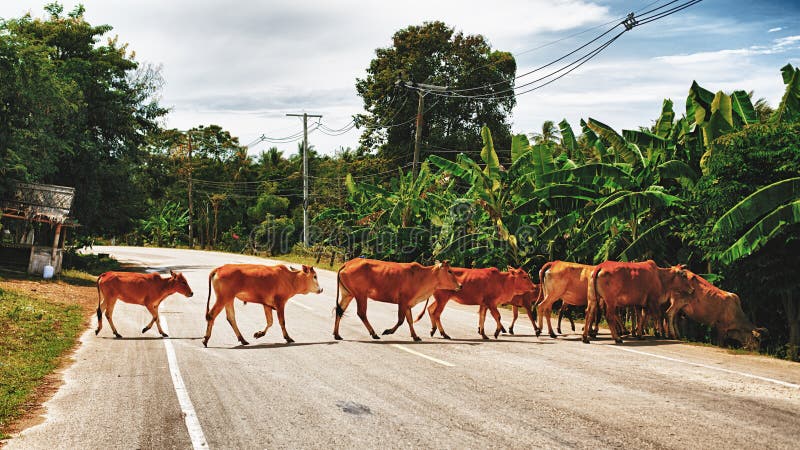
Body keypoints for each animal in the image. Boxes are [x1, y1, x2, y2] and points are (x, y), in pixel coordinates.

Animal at [332, 258, 462, 342]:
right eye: (449, 271)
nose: (460, 285)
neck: (422, 277)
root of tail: (347, 264)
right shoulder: (403, 301)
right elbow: (401, 320)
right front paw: (388, 331)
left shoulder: (408, 304)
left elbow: (410, 321)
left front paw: (415, 336)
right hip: (360, 295)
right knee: (361, 313)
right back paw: (374, 333)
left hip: (348, 294)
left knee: (339, 310)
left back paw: (337, 335)